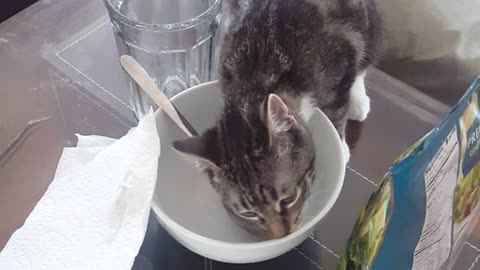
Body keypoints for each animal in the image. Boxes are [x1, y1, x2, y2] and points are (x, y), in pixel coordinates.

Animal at [174, 0, 380, 239]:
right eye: (249, 213)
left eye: (288, 199)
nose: (282, 233)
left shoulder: (340, 60)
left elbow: (337, 107)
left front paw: (341, 145)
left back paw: (359, 102)